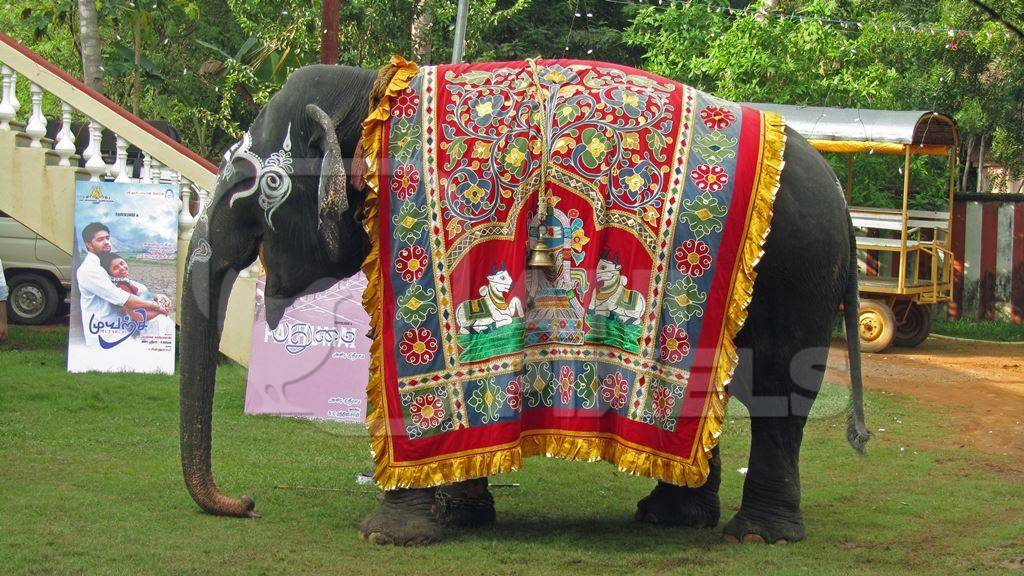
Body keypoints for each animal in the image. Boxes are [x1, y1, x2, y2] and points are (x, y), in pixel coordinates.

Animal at [178, 60, 864, 545]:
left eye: (257, 186)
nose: (245, 504)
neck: (370, 88)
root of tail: (842, 195)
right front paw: (458, 515)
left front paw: (387, 535)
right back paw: (672, 517)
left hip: (801, 271)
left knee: (779, 387)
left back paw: (758, 535)